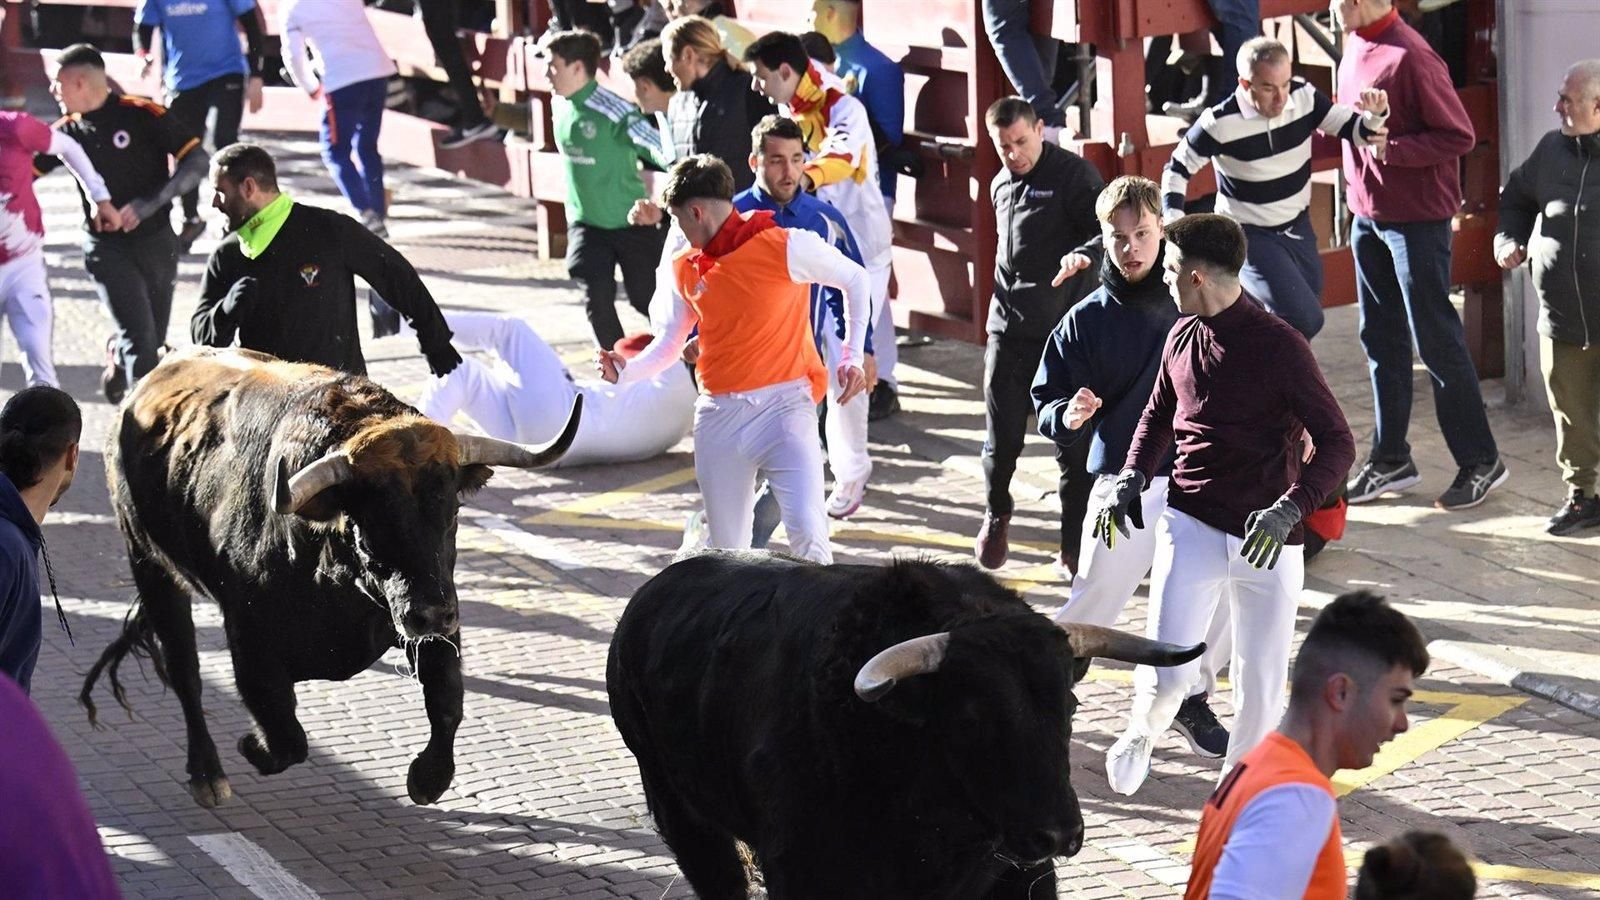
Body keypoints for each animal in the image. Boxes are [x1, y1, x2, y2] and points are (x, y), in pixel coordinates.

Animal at [81, 347, 582, 800]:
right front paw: (250, 745)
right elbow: (285, 734)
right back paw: (208, 776)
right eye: (370, 523)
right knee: (185, 670)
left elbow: (446, 699)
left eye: (453, 513)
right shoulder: (249, 636)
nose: (430, 614)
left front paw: (426, 779)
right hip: (150, 564)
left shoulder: (437, 612)